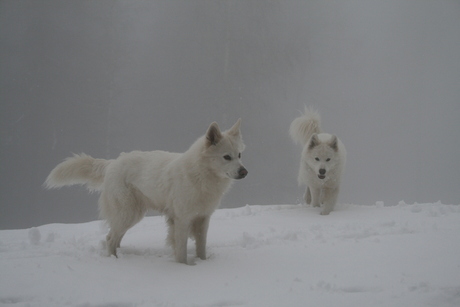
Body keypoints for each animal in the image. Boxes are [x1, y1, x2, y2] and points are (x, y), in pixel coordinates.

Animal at [45, 119, 248, 264]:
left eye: (239, 155)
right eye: (226, 157)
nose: (244, 172)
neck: (200, 174)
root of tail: (112, 163)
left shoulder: (203, 218)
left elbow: (201, 247)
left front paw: (203, 264)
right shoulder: (182, 220)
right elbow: (181, 251)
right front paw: (185, 268)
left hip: (131, 214)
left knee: (115, 237)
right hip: (128, 213)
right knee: (110, 238)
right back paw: (114, 261)